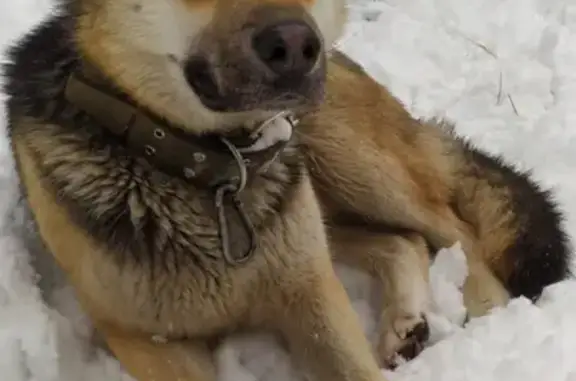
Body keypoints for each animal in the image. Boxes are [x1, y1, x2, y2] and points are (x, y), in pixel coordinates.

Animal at [2, 0, 572, 378]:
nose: (297, 48)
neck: (210, 169)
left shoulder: (312, 295)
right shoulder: (146, 338)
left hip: (349, 160)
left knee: (453, 229)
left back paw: (488, 313)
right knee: (402, 240)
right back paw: (406, 322)